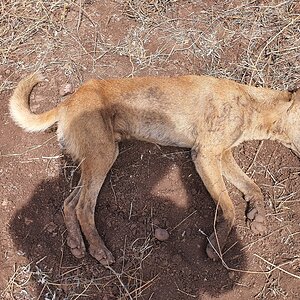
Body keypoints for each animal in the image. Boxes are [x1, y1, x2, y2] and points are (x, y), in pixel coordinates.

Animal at [9, 72, 300, 264]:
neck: (253, 104)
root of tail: (67, 101)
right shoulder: (205, 155)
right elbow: (229, 207)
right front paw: (217, 245)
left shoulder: (223, 154)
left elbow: (253, 186)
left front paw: (258, 216)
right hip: (104, 156)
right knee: (83, 207)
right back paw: (99, 250)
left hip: (94, 160)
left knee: (69, 203)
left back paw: (77, 243)